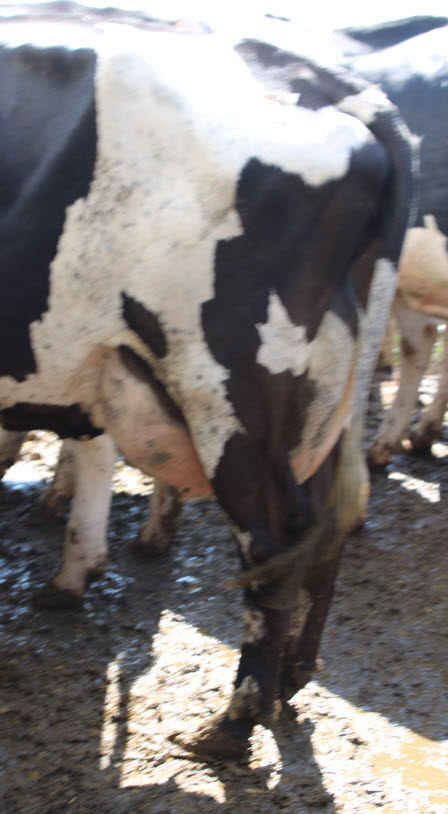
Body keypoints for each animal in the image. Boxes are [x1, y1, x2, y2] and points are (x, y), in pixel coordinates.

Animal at [0, 7, 413, 758]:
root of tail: (344, 98)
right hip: (313, 396)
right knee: (321, 528)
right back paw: (290, 681)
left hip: (228, 389)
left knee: (273, 542)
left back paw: (234, 721)